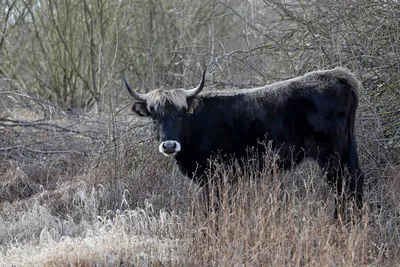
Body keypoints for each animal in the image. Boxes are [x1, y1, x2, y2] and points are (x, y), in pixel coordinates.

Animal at [123, 68, 364, 219]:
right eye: (155, 115)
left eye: (182, 113)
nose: (169, 146)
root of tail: (338, 75)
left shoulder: (213, 177)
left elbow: (213, 208)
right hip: (347, 150)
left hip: (332, 155)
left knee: (344, 184)